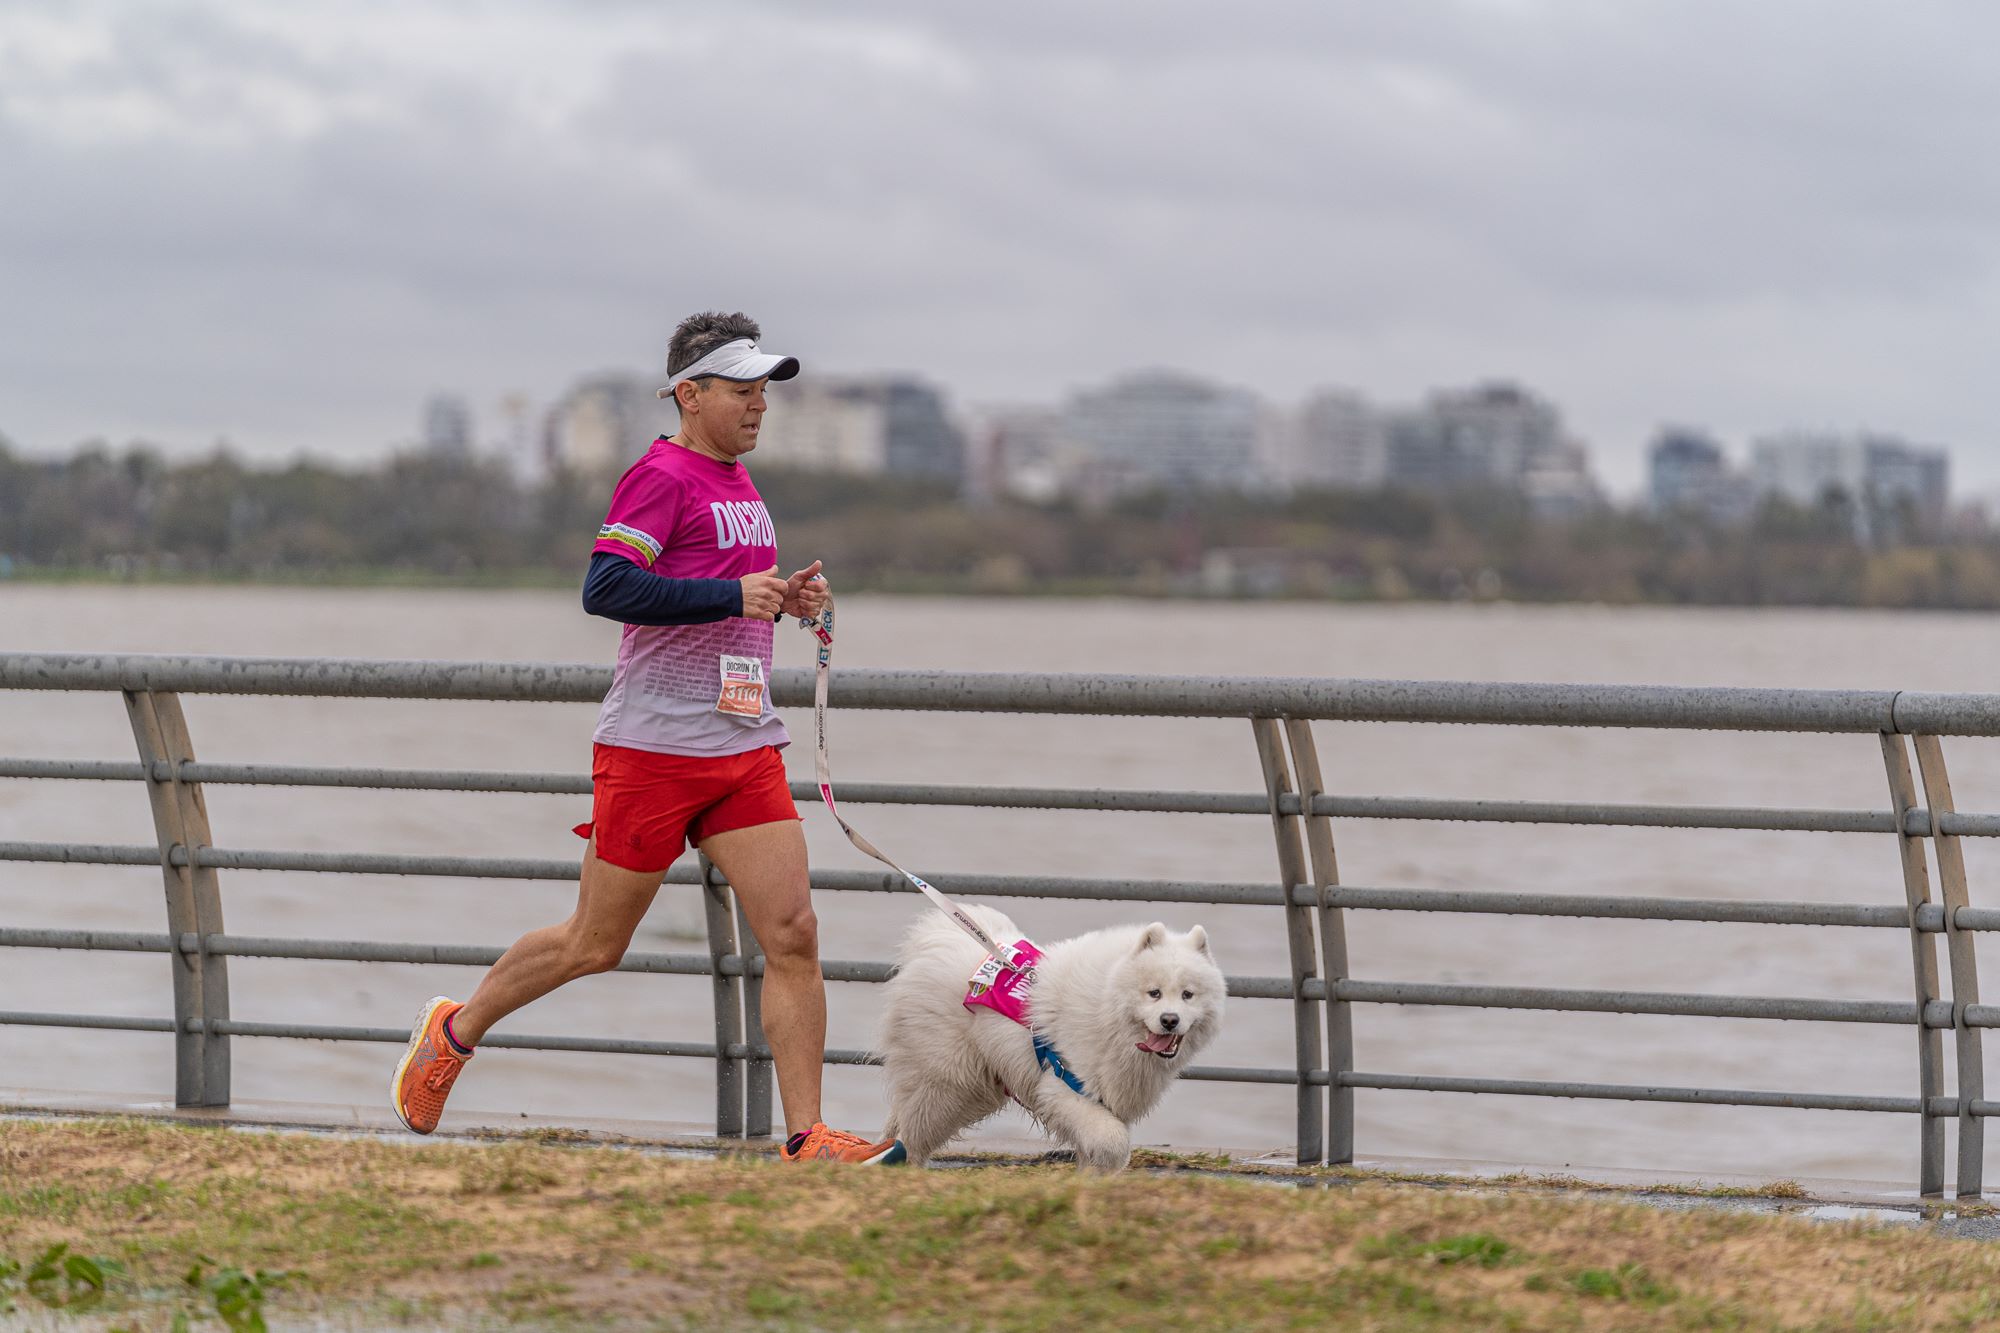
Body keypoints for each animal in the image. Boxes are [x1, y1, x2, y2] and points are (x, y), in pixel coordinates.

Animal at [880, 896, 1224, 1168]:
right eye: (1154, 993)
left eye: (1187, 995)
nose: (1169, 1020)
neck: (1107, 1009)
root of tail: (932, 941)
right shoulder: (1064, 1085)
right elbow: (1113, 1141)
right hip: (945, 1083)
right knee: (912, 1135)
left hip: (974, 1088)